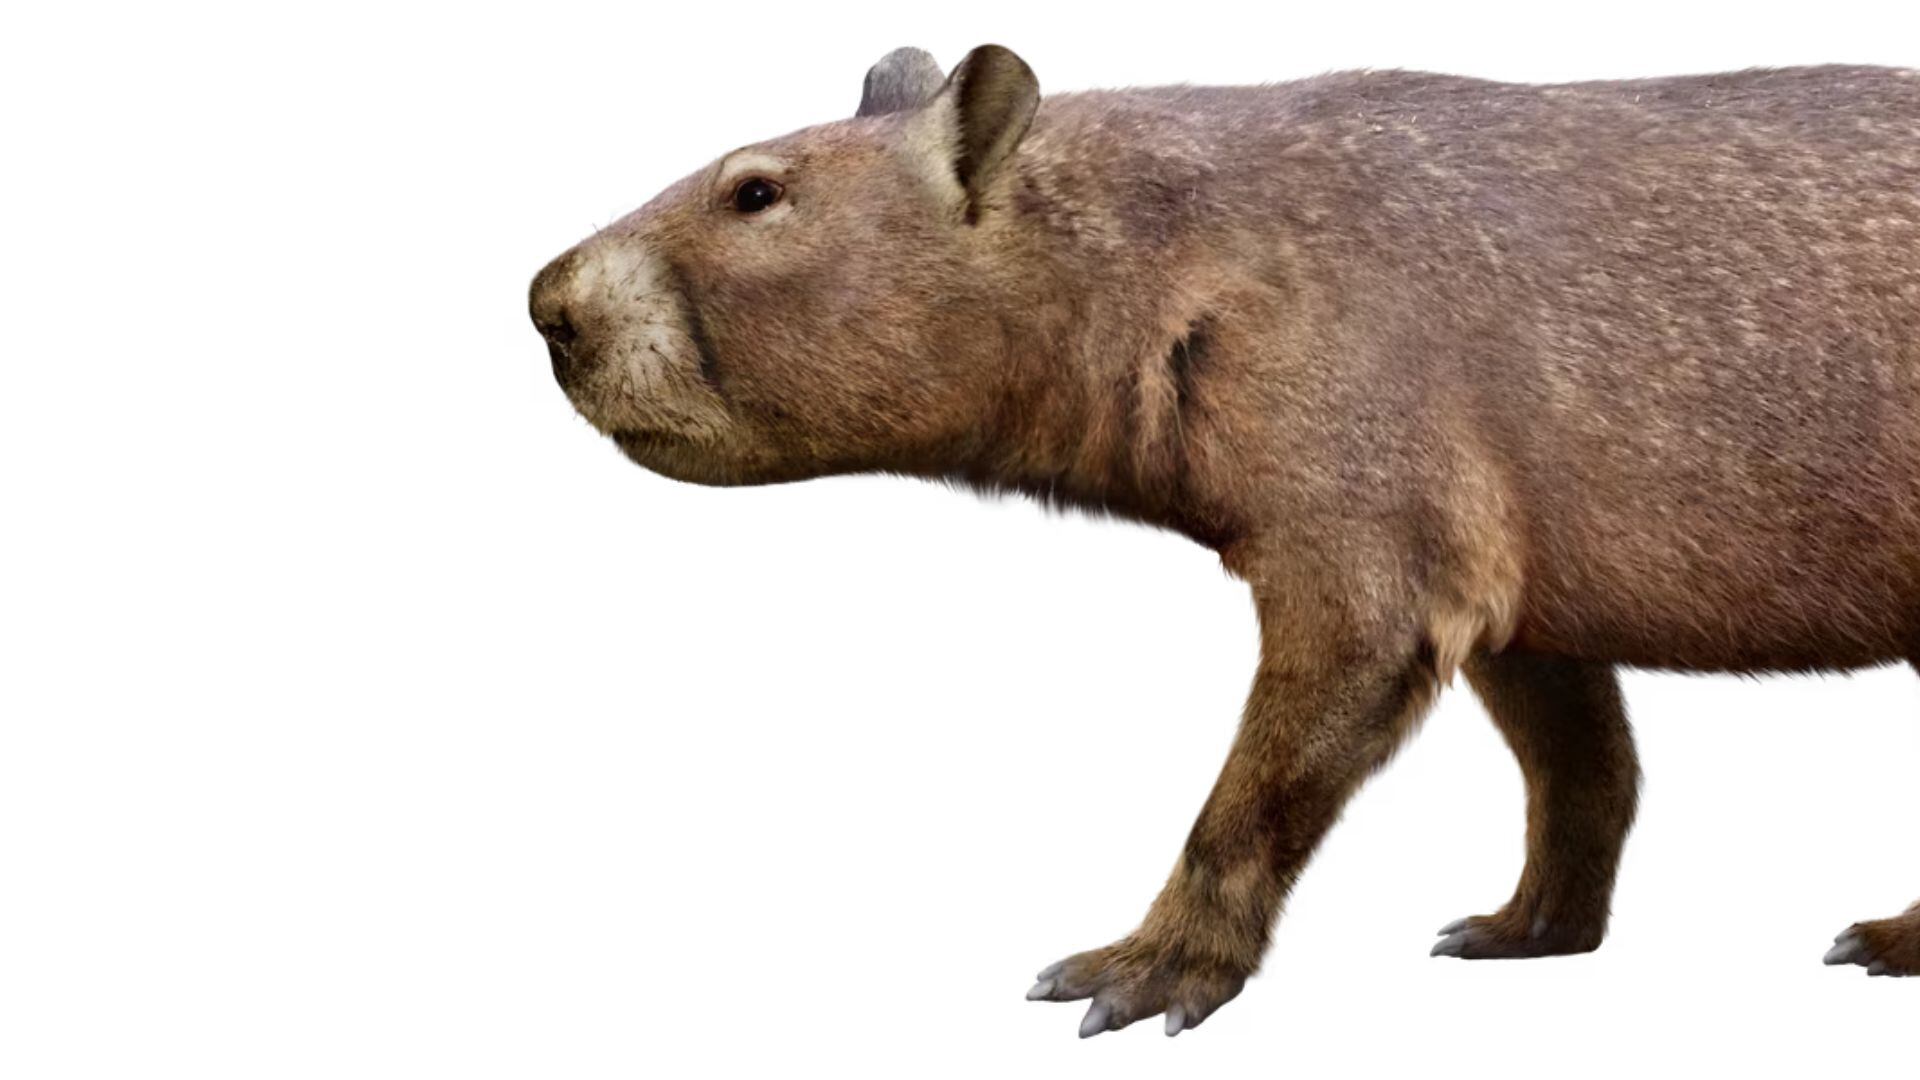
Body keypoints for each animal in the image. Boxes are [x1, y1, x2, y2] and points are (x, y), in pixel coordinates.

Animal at [528, 44, 1920, 1036]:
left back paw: (1888, 941)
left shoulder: (1361, 424)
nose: (549, 304)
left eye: (755, 190)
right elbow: (1569, 733)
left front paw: (1132, 974)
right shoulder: (1510, 515)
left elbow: (1331, 680)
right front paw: (1519, 925)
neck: (1166, 245)